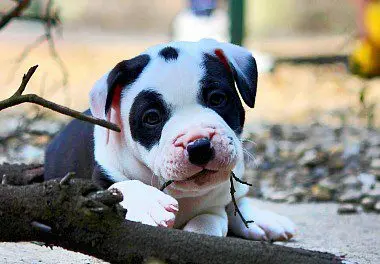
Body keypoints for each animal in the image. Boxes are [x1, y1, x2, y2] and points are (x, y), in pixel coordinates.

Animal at [44, 38, 294, 239]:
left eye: (217, 99)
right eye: (152, 117)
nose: (199, 145)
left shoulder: (213, 209)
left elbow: (208, 224)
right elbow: (118, 185)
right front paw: (148, 203)